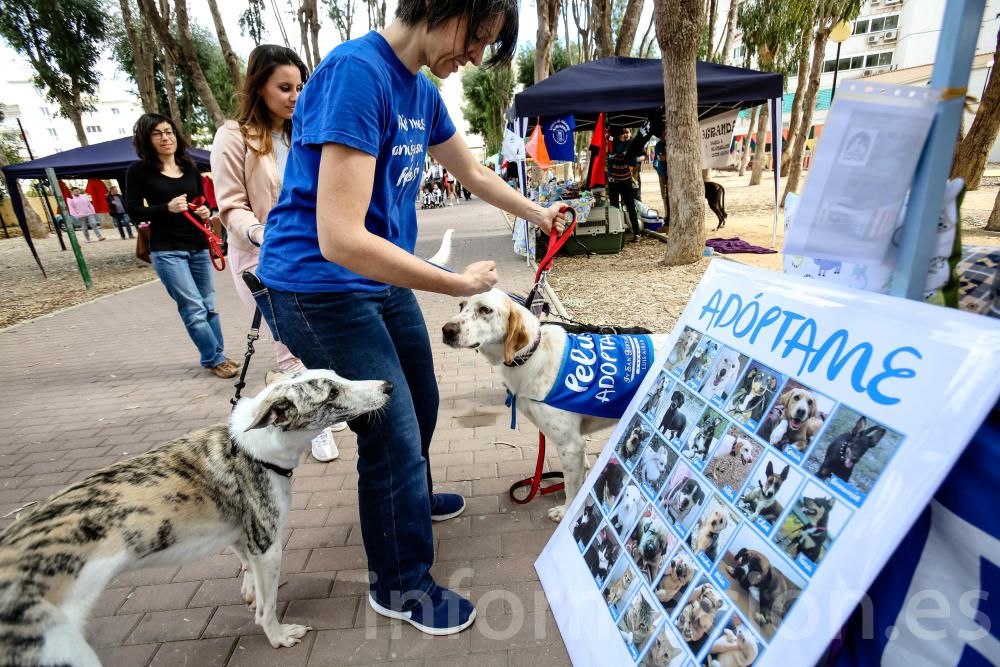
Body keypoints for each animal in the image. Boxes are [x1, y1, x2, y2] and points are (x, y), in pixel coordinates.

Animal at [0, 370, 390, 667]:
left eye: (337, 374)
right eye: (332, 392)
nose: (388, 386)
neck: (252, 447)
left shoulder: (240, 534)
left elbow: (248, 571)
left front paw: (250, 592)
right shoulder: (267, 543)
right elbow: (267, 607)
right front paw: (278, 636)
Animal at [446, 290, 672, 524]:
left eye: (485, 309)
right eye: (461, 306)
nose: (447, 331)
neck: (532, 354)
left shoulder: (570, 446)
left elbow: (572, 488)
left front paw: (565, 512)